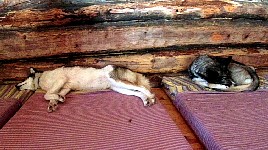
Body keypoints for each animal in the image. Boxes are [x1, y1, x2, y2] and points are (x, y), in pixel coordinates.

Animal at [16, 65, 155, 112]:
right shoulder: (66, 87)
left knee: (142, 87)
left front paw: (56, 98)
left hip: (118, 82)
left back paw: (151, 97)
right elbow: (52, 96)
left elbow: (46, 94)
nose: (15, 86)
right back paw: (146, 100)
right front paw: (55, 102)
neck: (40, 79)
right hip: (118, 88)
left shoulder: (60, 80)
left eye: (23, 79)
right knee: (138, 92)